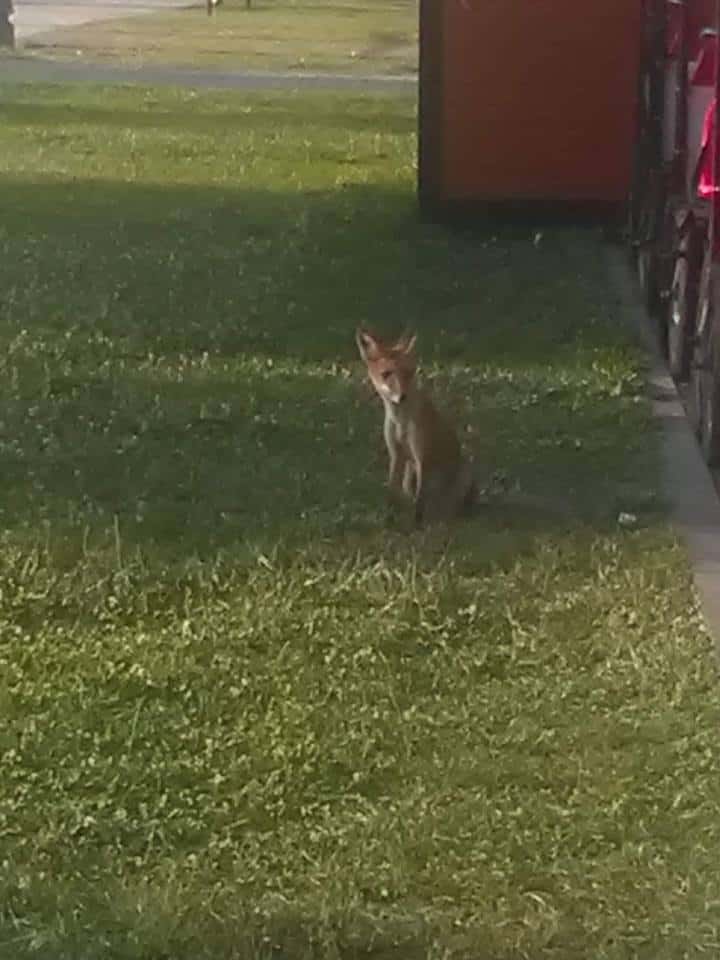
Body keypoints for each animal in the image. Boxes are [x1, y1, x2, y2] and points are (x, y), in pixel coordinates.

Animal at [355, 328, 476, 526]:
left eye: (408, 372)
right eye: (386, 374)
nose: (402, 396)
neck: (400, 422)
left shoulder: (422, 457)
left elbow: (420, 500)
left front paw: (416, 525)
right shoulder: (396, 454)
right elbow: (391, 491)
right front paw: (388, 519)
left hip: (463, 473)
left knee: (451, 504)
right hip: (409, 474)